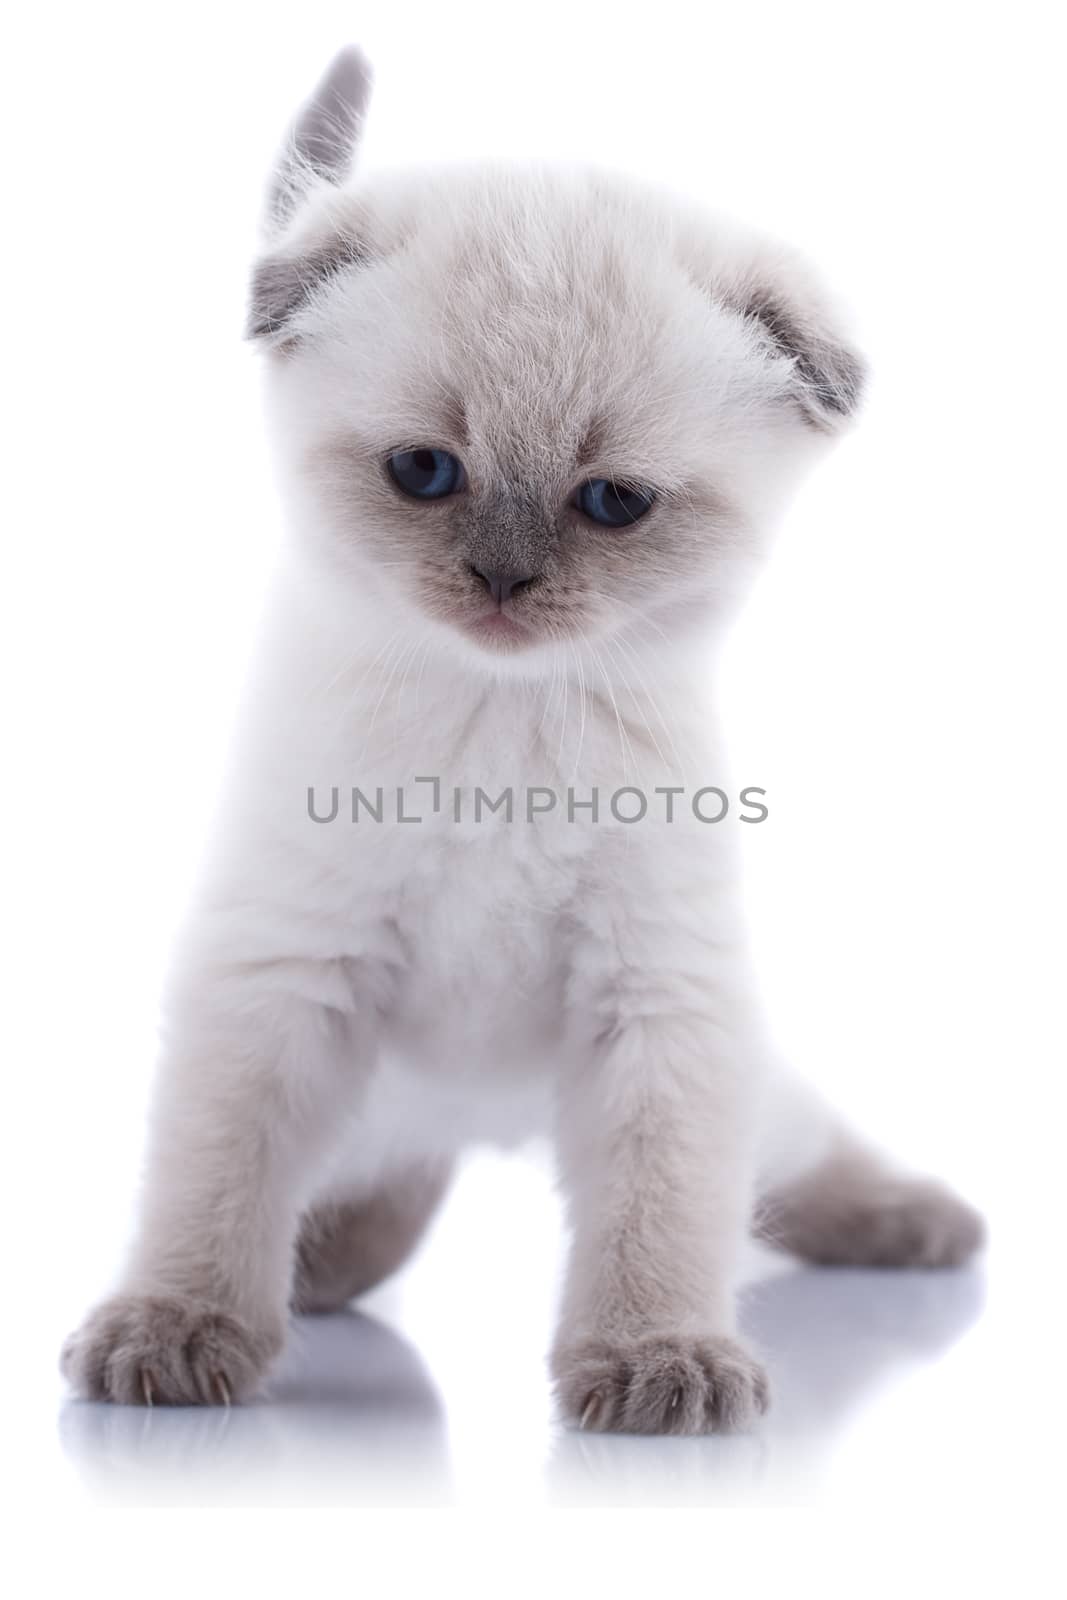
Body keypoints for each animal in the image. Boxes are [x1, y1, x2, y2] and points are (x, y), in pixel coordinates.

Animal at [60, 50, 985, 1433]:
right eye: (423, 472)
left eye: (611, 501)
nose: (500, 580)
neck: (503, 718)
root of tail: (484, 1116)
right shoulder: (282, 981)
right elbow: (214, 1187)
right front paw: (177, 1328)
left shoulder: (655, 997)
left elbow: (659, 1215)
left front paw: (658, 1361)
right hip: (372, 1098)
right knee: (375, 1190)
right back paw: (321, 1269)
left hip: (736, 1083)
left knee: (794, 1158)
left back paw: (918, 1221)